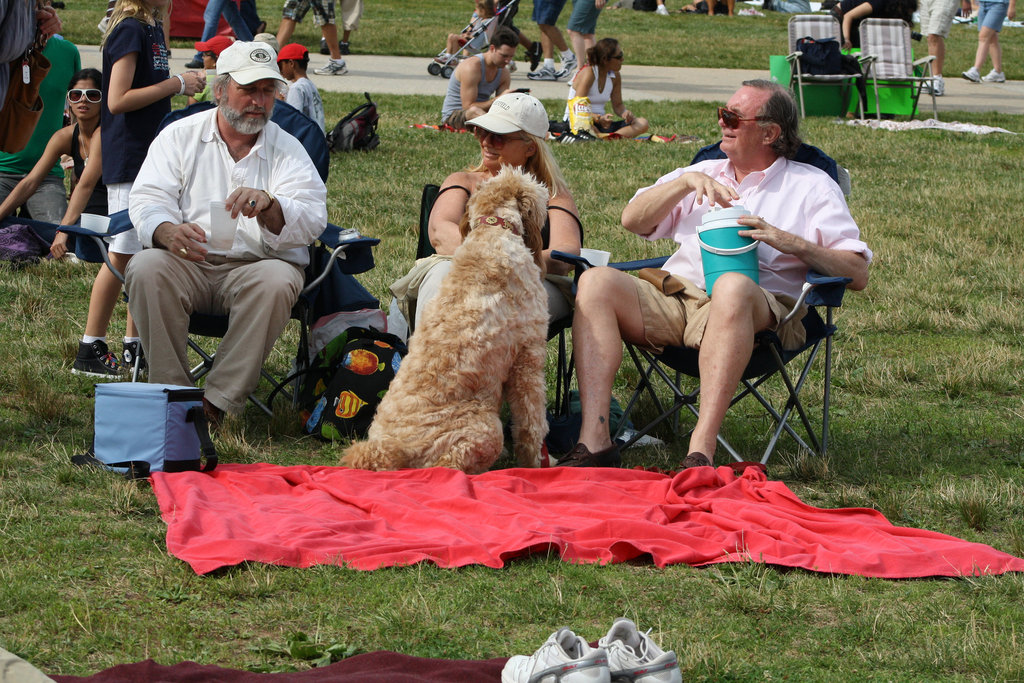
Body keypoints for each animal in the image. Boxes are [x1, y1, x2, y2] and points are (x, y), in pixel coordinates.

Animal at [342, 167, 552, 473]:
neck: (493, 230)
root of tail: (388, 451)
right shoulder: (528, 357)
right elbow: (532, 425)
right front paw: (538, 464)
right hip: (485, 429)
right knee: (447, 469)